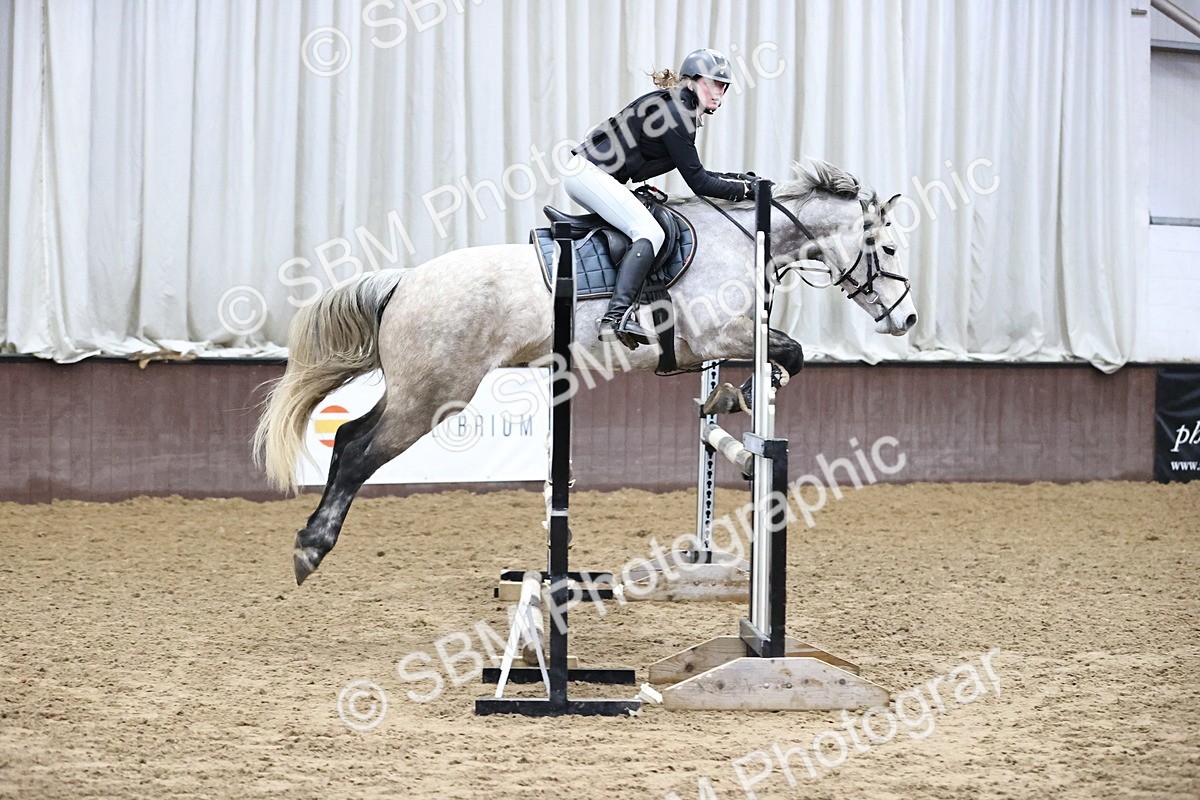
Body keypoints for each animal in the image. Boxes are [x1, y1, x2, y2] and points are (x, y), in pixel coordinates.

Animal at [254, 160, 918, 585]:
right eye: (886, 249)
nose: (907, 318)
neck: (743, 238)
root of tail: (405, 283)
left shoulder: (720, 342)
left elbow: (775, 363)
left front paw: (727, 399)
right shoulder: (720, 335)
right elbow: (791, 353)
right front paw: (737, 398)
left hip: (420, 392)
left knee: (349, 437)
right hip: (432, 395)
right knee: (356, 447)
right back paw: (310, 548)